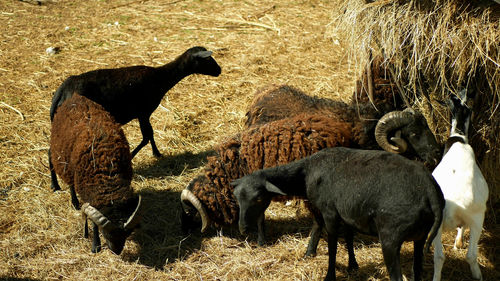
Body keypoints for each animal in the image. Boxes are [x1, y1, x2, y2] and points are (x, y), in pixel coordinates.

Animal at [50, 94, 142, 254]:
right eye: (106, 233)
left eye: (126, 233)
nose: (116, 251)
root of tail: (75, 97)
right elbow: (93, 223)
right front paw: (96, 246)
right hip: (61, 157)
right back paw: (62, 191)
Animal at [232, 147, 444, 280]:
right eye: (236, 198)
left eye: (259, 199)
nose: (243, 229)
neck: (306, 171)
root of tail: (429, 191)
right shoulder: (347, 213)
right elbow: (349, 238)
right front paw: (352, 266)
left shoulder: (330, 213)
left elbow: (333, 246)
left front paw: (330, 275)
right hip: (420, 236)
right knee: (417, 270)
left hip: (391, 236)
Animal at [434, 90, 488, 280]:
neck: (458, 138)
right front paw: (458, 242)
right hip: (478, 217)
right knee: (470, 255)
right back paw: (478, 275)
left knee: (439, 256)